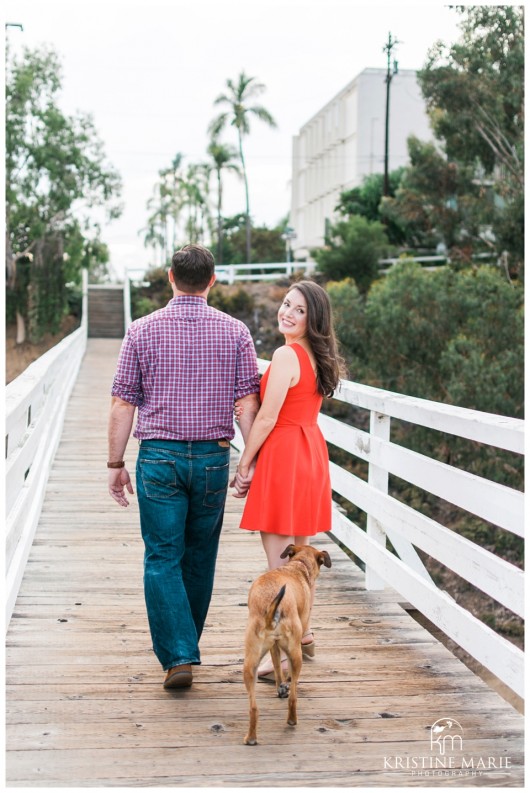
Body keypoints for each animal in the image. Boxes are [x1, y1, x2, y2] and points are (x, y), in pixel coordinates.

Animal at [242, 540, 330, 744]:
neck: (298, 566)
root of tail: (272, 608)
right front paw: (284, 686)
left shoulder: (273, 647)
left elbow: (276, 666)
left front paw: (279, 686)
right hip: (295, 653)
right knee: (293, 696)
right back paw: (292, 719)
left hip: (250, 662)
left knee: (253, 707)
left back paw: (251, 737)